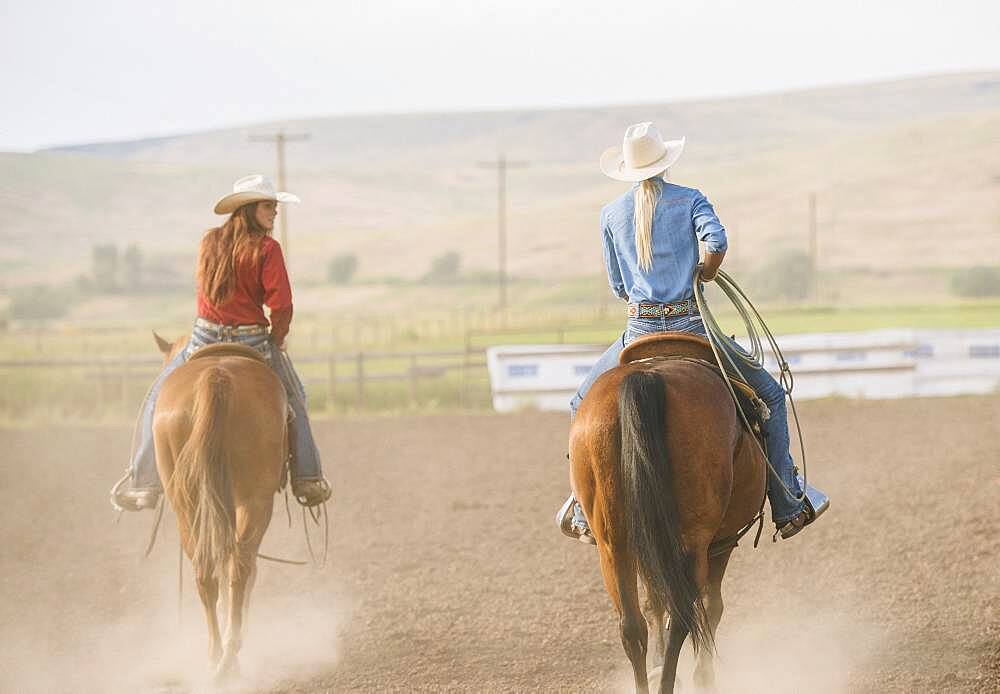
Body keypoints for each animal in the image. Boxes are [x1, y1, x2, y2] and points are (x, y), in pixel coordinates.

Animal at [151, 336, 286, 680]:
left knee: (208, 570)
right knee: (241, 567)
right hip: (254, 501)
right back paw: (230, 654)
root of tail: (216, 377)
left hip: (188, 505)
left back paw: (215, 657)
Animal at [572, 346, 764, 692]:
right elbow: (711, 605)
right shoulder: (722, 542)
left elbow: (654, 603)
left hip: (615, 544)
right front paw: (704, 676)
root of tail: (644, 378)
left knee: (632, 626)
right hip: (692, 540)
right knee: (683, 616)